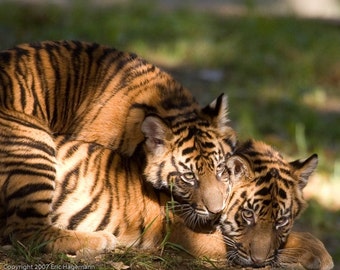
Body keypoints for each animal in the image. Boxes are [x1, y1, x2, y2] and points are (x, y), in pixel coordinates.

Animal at [0, 41, 236, 253]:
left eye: (220, 169)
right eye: (188, 177)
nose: (216, 211)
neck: (173, 108)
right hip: (34, 143)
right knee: (26, 231)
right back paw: (100, 240)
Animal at [50, 138, 332, 268]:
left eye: (281, 220)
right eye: (248, 215)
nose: (258, 262)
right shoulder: (192, 236)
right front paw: (320, 257)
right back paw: (100, 241)